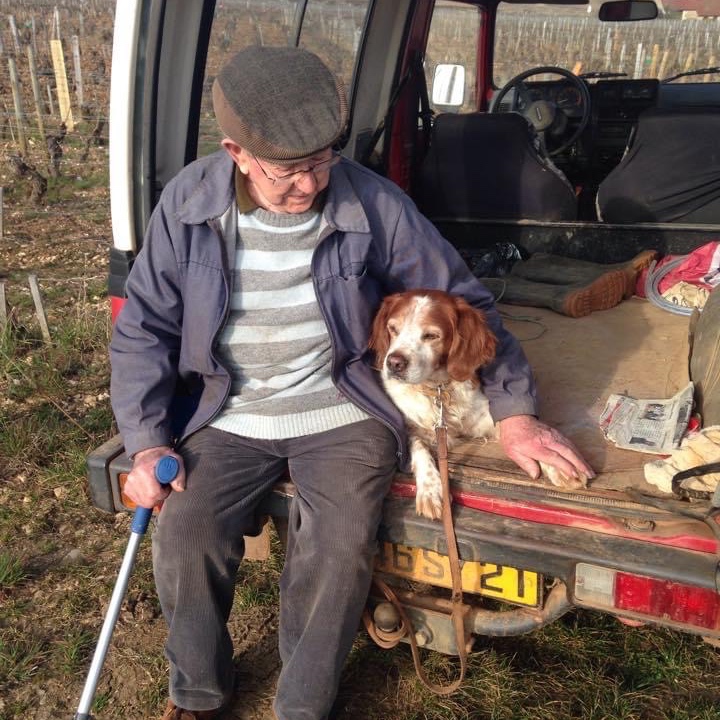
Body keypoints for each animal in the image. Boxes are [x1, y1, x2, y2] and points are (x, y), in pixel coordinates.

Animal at [372, 290, 584, 520]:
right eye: (393, 329)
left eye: (431, 336)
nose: (394, 363)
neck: (439, 390)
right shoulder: (410, 427)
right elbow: (419, 448)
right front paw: (431, 490)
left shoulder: (484, 416)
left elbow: (516, 431)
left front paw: (555, 465)